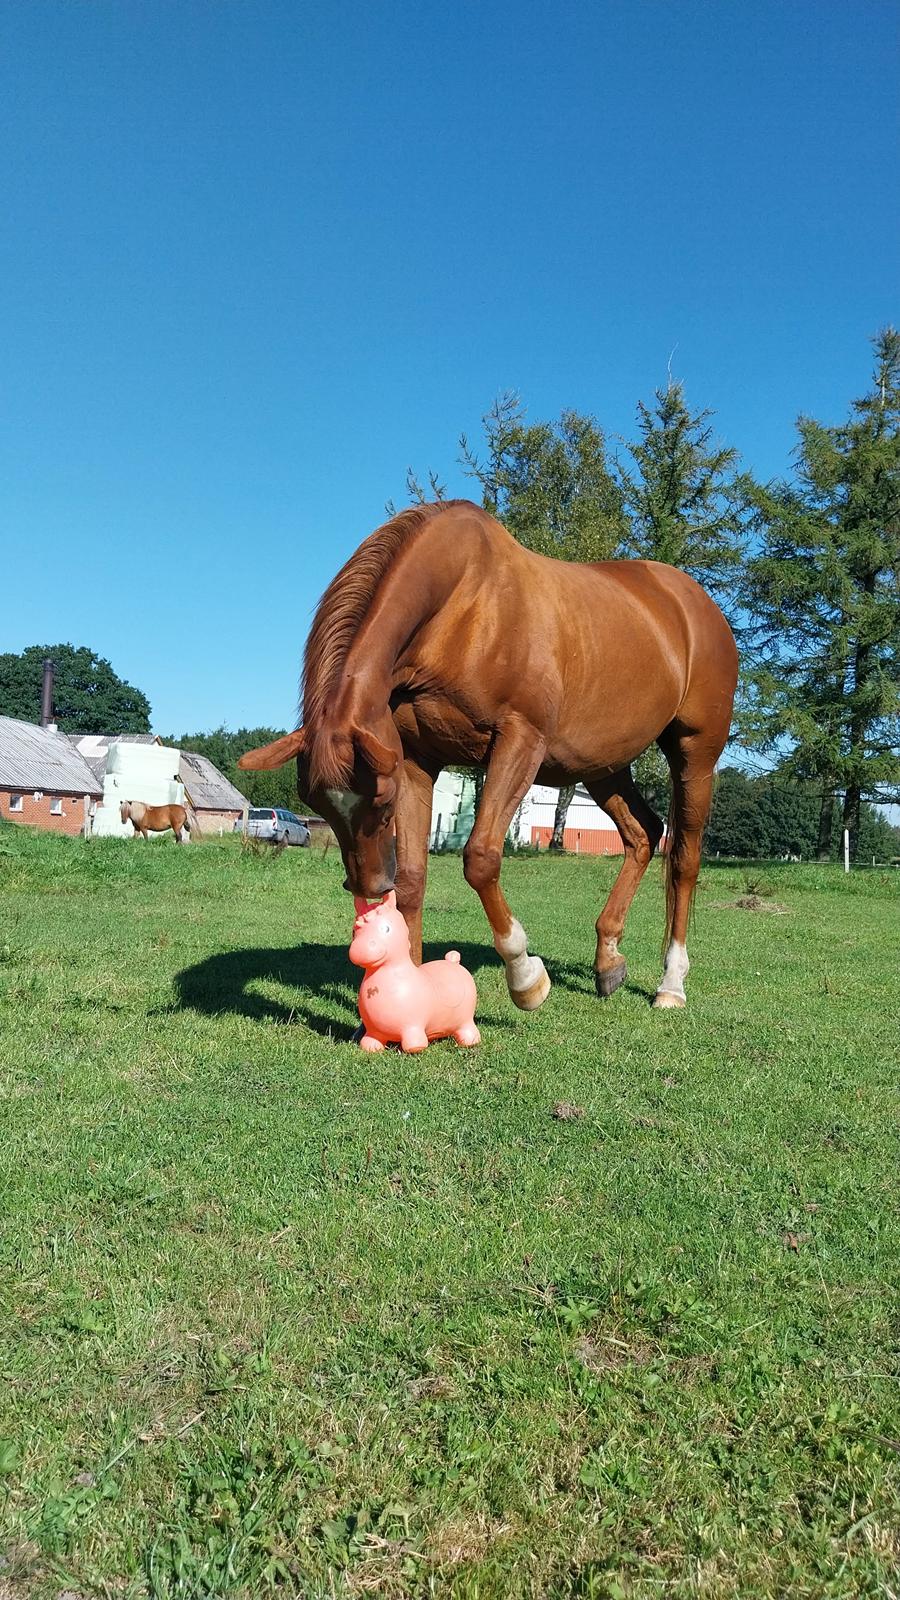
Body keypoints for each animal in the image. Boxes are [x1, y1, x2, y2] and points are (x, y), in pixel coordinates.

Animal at [238, 496, 736, 1011]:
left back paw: (671, 983)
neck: (466, 607)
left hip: (695, 752)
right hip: (603, 763)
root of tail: (691, 601)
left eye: (381, 803)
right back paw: (608, 961)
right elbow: (413, 877)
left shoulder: (520, 742)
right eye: (317, 804)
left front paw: (526, 977)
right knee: (643, 834)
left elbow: (480, 858)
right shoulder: (415, 761)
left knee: (684, 859)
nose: (369, 886)